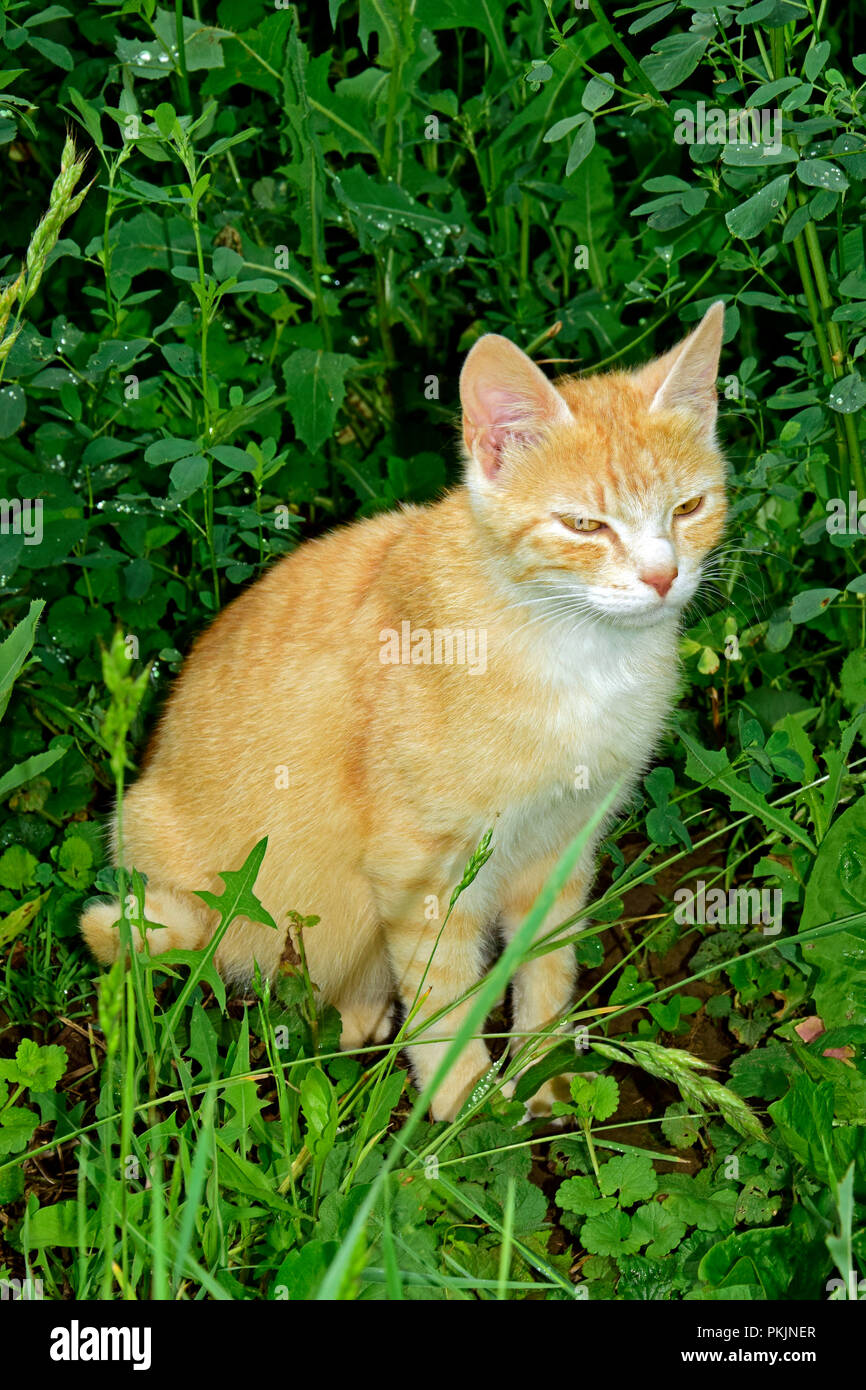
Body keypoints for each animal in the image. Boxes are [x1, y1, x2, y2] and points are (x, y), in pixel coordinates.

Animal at [84, 304, 728, 1117]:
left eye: (689, 507)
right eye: (584, 526)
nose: (662, 576)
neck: (578, 655)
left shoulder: (561, 848)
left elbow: (546, 973)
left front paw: (543, 1078)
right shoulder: (421, 872)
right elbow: (443, 1001)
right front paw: (464, 1109)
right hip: (162, 848)